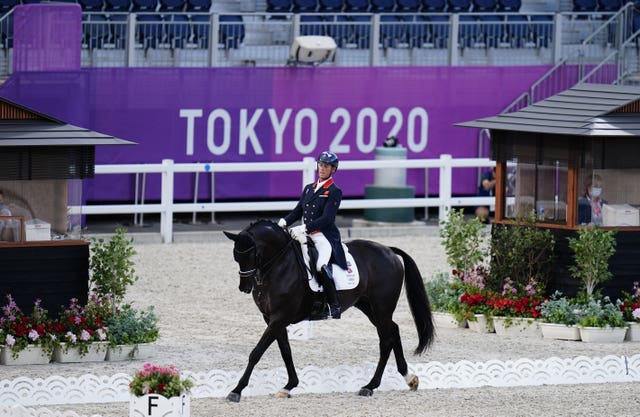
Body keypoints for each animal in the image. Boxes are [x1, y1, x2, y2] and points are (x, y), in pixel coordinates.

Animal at [224, 219, 436, 402]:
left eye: (252, 255)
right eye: (236, 257)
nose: (244, 287)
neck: (280, 265)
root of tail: (389, 251)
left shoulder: (280, 317)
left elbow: (257, 352)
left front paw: (236, 390)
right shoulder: (271, 318)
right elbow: (285, 350)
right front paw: (289, 386)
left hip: (381, 308)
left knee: (386, 341)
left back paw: (370, 386)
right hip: (370, 308)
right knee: (393, 331)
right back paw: (408, 378)